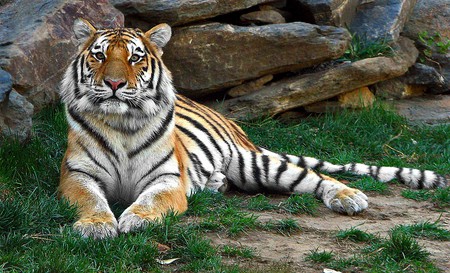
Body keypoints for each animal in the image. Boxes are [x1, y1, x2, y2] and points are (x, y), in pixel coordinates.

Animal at [59, 18, 446, 238]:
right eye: (99, 55)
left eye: (135, 58)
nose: (113, 84)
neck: (121, 122)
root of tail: (233, 124)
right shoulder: (77, 174)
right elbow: (90, 200)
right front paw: (96, 227)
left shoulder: (167, 178)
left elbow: (152, 200)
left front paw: (136, 220)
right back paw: (213, 184)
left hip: (256, 164)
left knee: (317, 176)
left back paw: (349, 197)